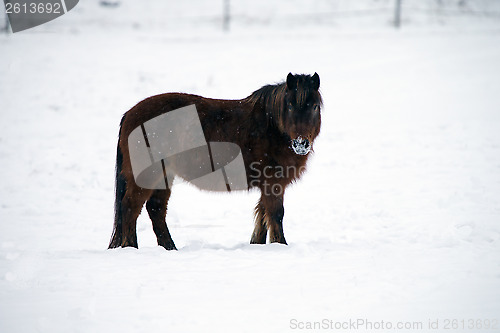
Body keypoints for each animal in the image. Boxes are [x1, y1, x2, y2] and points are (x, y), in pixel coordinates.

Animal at [107, 72, 322, 249]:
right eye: (290, 106)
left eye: (314, 106)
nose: (301, 144)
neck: (271, 126)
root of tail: (129, 115)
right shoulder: (273, 183)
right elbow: (276, 214)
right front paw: (280, 245)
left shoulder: (268, 184)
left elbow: (262, 214)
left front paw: (258, 245)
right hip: (147, 176)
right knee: (130, 208)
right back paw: (131, 248)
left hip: (163, 176)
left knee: (155, 209)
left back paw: (169, 248)